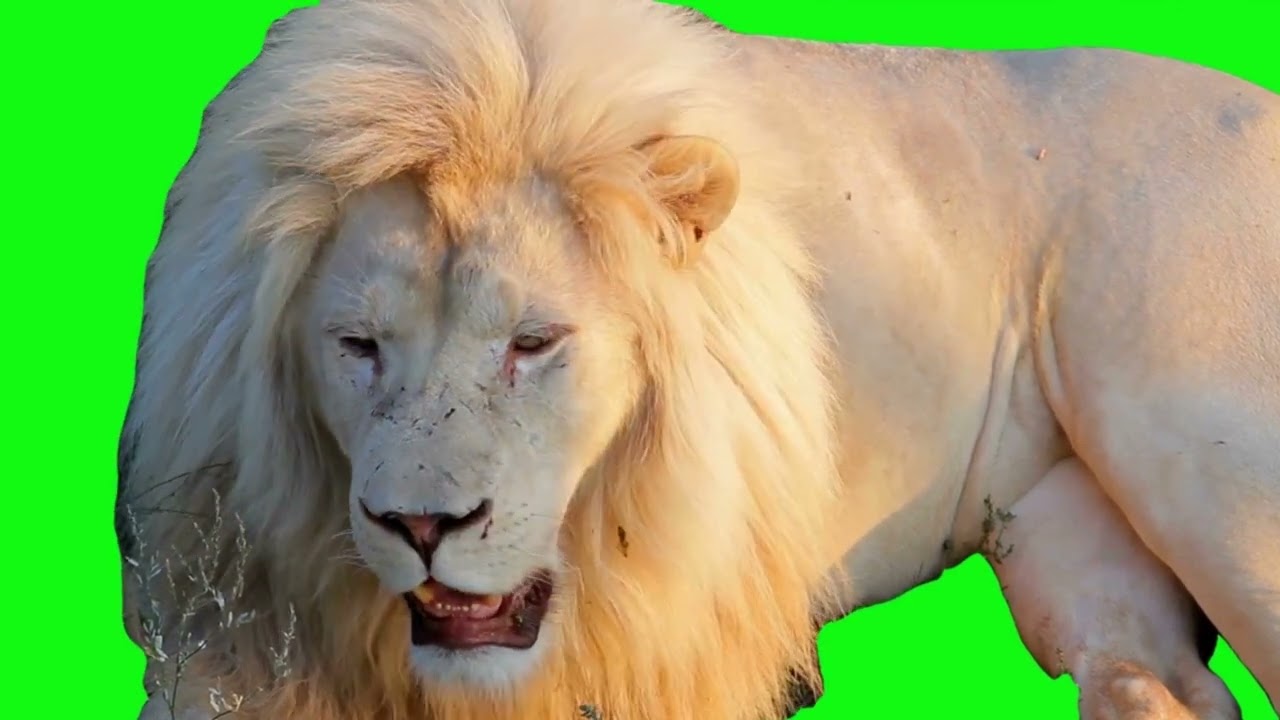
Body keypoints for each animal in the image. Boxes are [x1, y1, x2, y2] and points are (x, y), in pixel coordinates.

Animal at [116, 0, 1280, 718]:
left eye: (533, 343)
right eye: (358, 347)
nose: (420, 527)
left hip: (1211, 473)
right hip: (1069, 540)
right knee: (1162, 685)